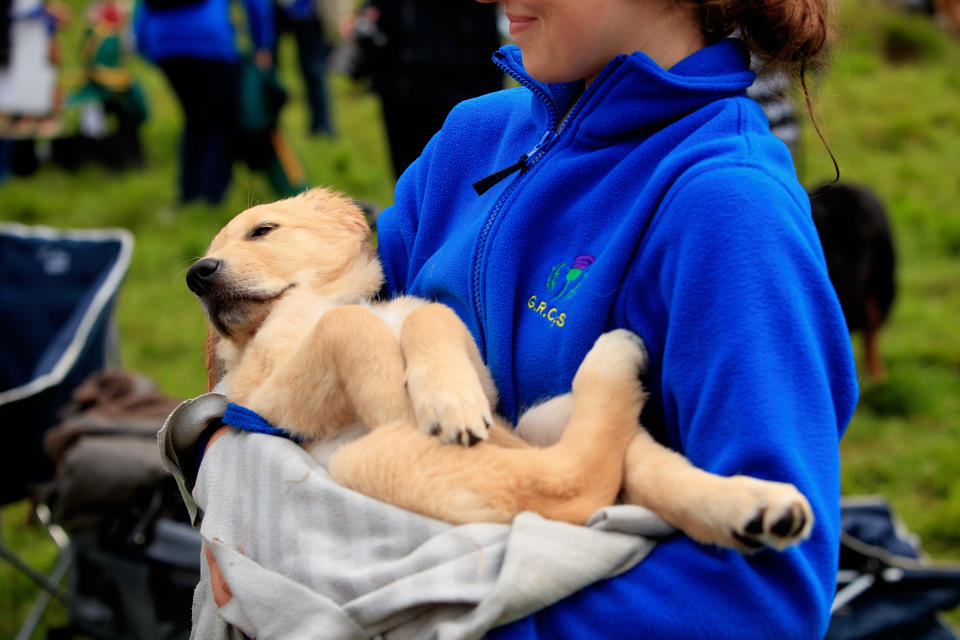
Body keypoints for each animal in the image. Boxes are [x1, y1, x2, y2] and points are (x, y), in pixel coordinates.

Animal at [189, 188, 816, 552]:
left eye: (262, 231)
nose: (198, 273)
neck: (319, 298)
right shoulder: (265, 396)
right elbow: (351, 329)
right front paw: (404, 401)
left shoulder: (467, 360)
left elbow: (428, 317)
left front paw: (447, 396)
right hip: (371, 462)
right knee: (574, 483)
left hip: (545, 418)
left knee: (637, 469)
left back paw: (757, 506)